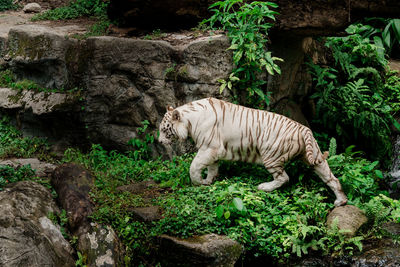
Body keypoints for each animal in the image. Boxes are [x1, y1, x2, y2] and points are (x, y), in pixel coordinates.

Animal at [157, 97, 346, 206]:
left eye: (164, 130)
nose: (159, 141)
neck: (190, 120)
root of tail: (303, 129)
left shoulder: (209, 147)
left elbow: (194, 166)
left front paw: (199, 182)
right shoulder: (213, 151)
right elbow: (212, 167)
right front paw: (209, 181)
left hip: (271, 156)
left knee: (284, 178)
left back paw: (264, 187)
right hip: (315, 157)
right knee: (332, 178)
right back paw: (341, 201)